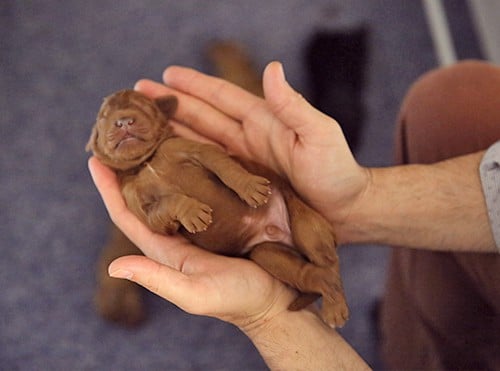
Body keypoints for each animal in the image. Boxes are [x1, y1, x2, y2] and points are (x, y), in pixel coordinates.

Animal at [88, 88, 350, 328]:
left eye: (142, 106)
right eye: (103, 117)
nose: (123, 121)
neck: (145, 163)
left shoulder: (194, 149)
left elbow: (224, 165)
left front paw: (250, 187)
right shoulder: (143, 209)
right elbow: (166, 205)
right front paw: (193, 212)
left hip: (306, 224)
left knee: (329, 262)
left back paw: (335, 309)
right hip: (268, 253)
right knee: (308, 273)